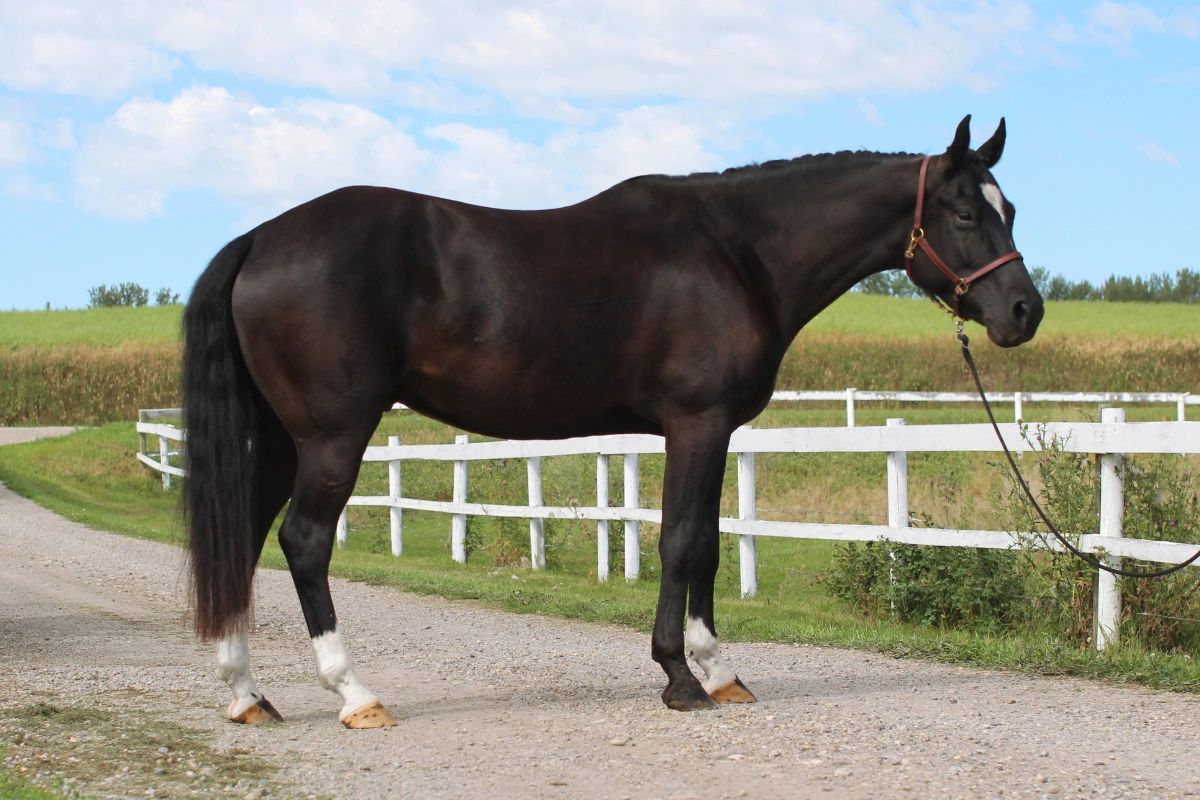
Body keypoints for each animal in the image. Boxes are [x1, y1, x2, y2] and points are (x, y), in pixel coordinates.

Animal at [182, 115, 1043, 728]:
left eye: (1010, 208)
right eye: (964, 211)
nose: (1024, 312)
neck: (736, 253)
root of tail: (261, 238)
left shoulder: (712, 431)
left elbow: (708, 544)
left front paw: (719, 673)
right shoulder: (698, 422)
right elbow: (684, 542)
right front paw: (683, 676)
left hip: (282, 442)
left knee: (245, 534)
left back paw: (247, 694)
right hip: (331, 437)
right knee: (303, 541)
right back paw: (355, 694)